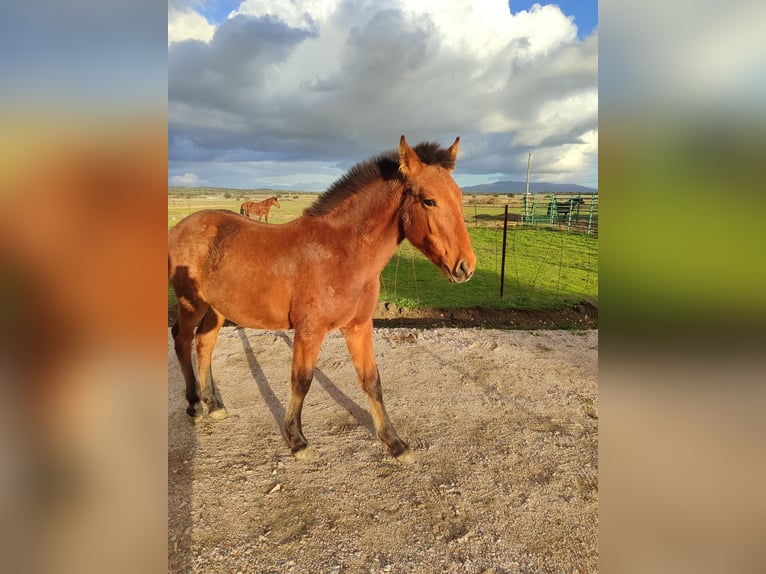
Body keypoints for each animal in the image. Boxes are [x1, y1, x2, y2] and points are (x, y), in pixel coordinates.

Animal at [168, 136, 476, 464]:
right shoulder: (309, 332)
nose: (465, 266)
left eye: (459, 196)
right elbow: (301, 381)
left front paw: (394, 442)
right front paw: (297, 440)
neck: (342, 253)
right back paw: (194, 405)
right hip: (191, 304)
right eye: (429, 200)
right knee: (182, 339)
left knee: (205, 343)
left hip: (217, 309)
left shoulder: (359, 327)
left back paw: (213, 404)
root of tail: (179, 227)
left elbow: (372, 381)